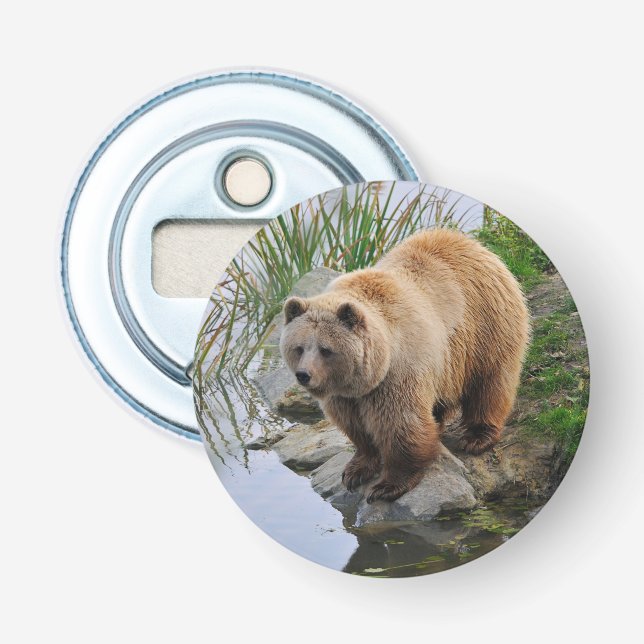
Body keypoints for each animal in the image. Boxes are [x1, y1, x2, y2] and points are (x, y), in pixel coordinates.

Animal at [279, 228, 530, 503]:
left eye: (325, 349)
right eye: (299, 347)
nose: (304, 375)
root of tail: (470, 242)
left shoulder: (397, 372)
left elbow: (401, 424)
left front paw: (388, 485)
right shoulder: (345, 395)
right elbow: (356, 427)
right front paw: (356, 470)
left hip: (485, 324)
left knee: (489, 382)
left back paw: (477, 436)